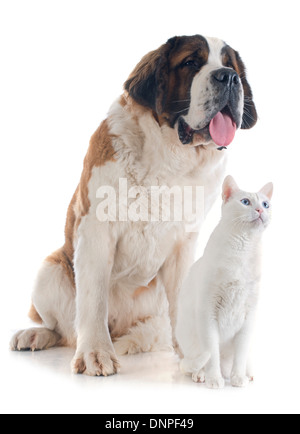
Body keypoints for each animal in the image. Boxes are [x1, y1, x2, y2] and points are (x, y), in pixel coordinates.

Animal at [10, 34, 256, 376]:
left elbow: (183, 300)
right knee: (64, 328)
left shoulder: (184, 244)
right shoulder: (96, 231)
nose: (229, 78)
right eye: (191, 62)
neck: (170, 157)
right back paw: (36, 334)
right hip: (50, 269)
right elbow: (93, 299)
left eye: (231, 67)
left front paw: (198, 357)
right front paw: (95, 352)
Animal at [176, 175, 274, 388]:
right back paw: (202, 375)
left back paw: (248, 373)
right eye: (245, 202)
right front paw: (214, 379)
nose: (260, 210)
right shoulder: (208, 313)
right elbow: (212, 354)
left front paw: (238, 378)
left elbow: (240, 356)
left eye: (265, 204)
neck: (243, 250)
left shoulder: (249, 316)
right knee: (199, 362)